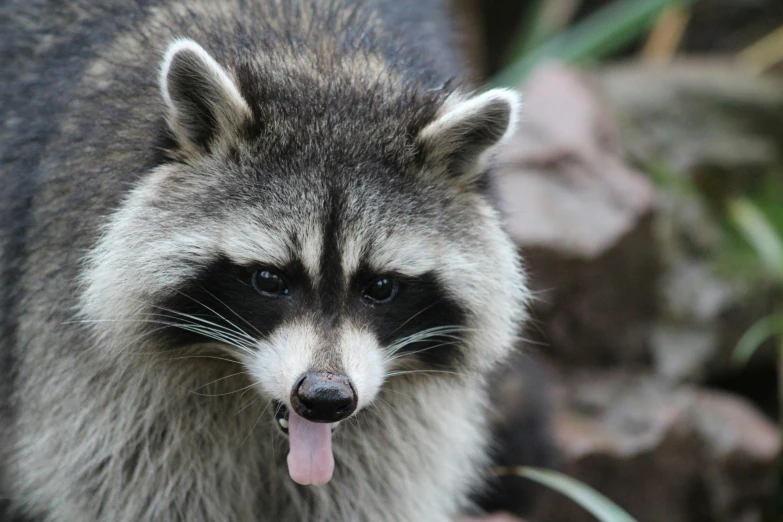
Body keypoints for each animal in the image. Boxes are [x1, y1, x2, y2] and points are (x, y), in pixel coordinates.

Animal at [0, 1, 532, 520]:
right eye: (269, 279)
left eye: (381, 287)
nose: (326, 398)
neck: (318, 59)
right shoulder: (101, 387)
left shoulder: (402, 424)